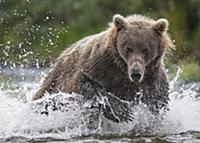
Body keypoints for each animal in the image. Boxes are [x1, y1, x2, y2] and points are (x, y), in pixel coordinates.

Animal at [32, 13, 172, 122]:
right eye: (128, 48)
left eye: (145, 50)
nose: (135, 73)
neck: (122, 67)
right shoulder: (101, 65)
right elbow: (83, 83)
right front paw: (123, 112)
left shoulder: (152, 78)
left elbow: (158, 101)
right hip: (55, 80)